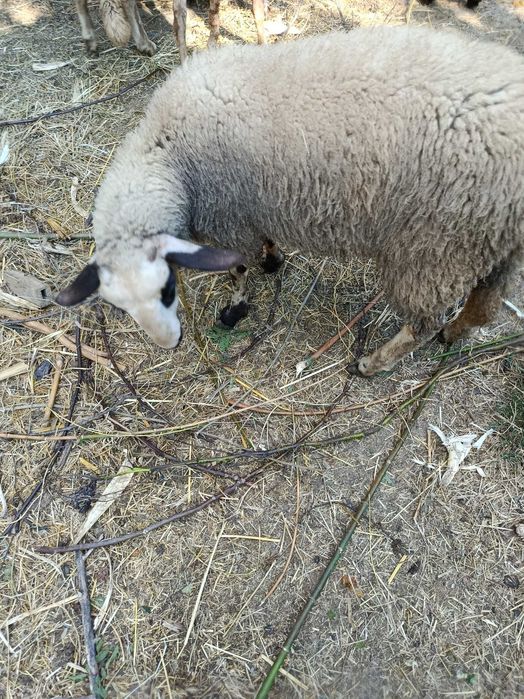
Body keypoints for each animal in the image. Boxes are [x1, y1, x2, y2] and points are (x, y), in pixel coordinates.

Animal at [56, 26, 524, 377]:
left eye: (169, 289)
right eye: (119, 308)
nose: (170, 343)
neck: (168, 153)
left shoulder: (229, 219)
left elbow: (238, 270)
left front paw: (236, 310)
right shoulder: (250, 208)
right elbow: (262, 245)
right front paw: (273, 260)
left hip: (433, 249)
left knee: (425, 321)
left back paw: (374, 363)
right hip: (486, 244)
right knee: (483, 309)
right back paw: (453, 335)